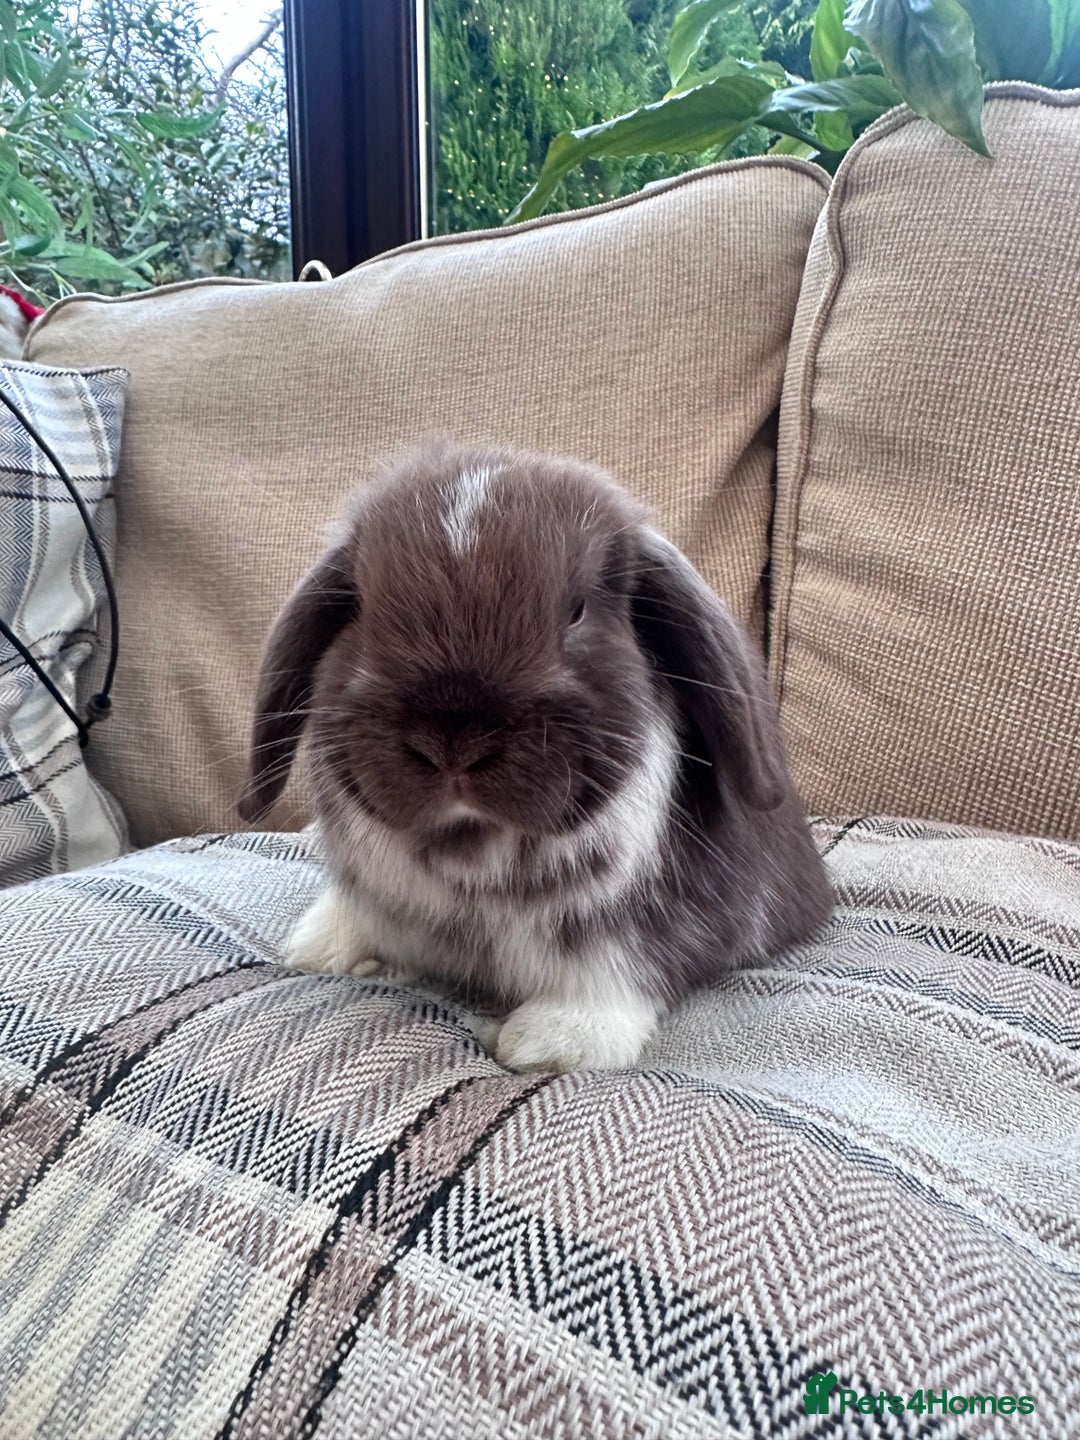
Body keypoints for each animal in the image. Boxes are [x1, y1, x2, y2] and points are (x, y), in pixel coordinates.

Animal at [238, 439, 833, 1072]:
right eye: (360, 609)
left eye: (577, 611)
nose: (453, 743)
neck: (471, 854)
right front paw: (318, 947)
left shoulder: (648, 919)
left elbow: (621, 964)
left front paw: (553, 1042)